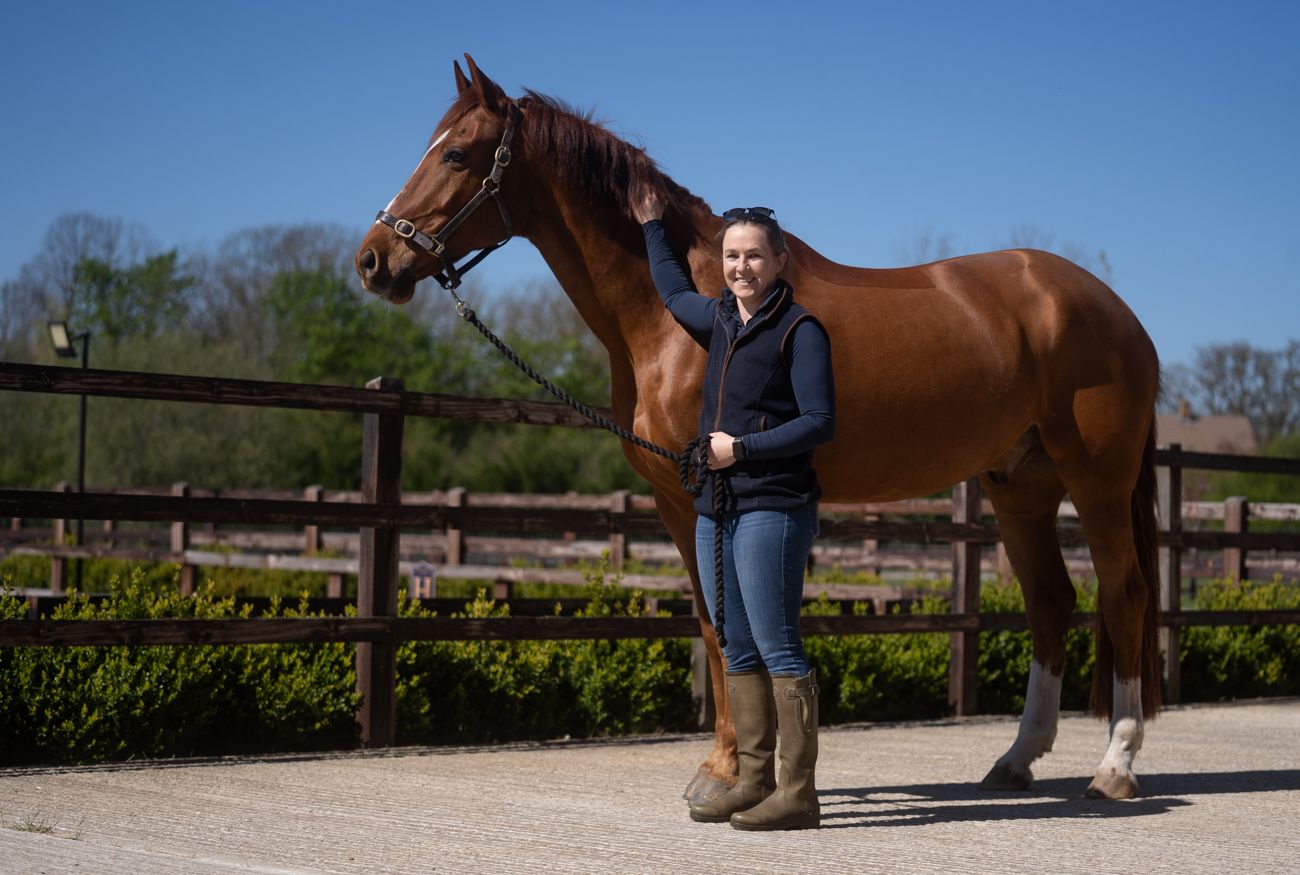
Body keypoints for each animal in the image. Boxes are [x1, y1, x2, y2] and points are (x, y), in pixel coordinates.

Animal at [355, 55, 1162, 802]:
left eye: (457, 155)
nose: (373, 260)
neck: (686, 309)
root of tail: (1118, 312)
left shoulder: (711, 495)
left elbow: (726, 626)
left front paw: (728, 770)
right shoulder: (676, 503)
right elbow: (714, 625)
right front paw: (735, 765)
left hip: (1095, 482)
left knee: (1123, 595)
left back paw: (1115, 766)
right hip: (1019, 486)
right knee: (1052, 603)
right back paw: (1016, 760)